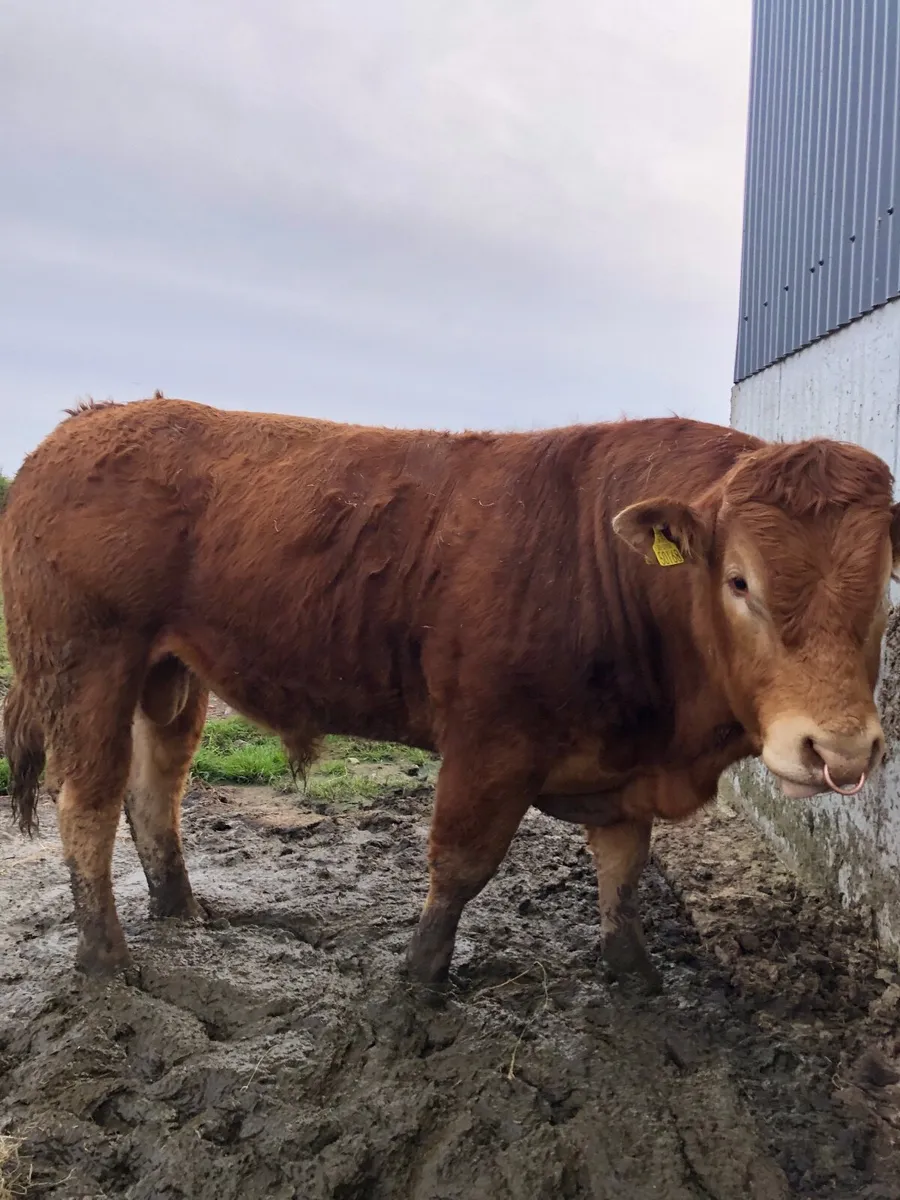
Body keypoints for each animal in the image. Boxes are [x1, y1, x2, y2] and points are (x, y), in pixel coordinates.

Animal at [3, 397, 898, 991]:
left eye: (885, 586)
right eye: (740, 581)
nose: (840, 748)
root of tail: (83, 423)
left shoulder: (622, 762)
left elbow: (624, 869)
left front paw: (635, 974)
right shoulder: (488, 742)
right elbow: (461, 864)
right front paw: (419, 981)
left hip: (168, 675)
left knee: (156, 790)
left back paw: (179, 909)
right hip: (87, 664)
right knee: (86, 803)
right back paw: (105, 959)